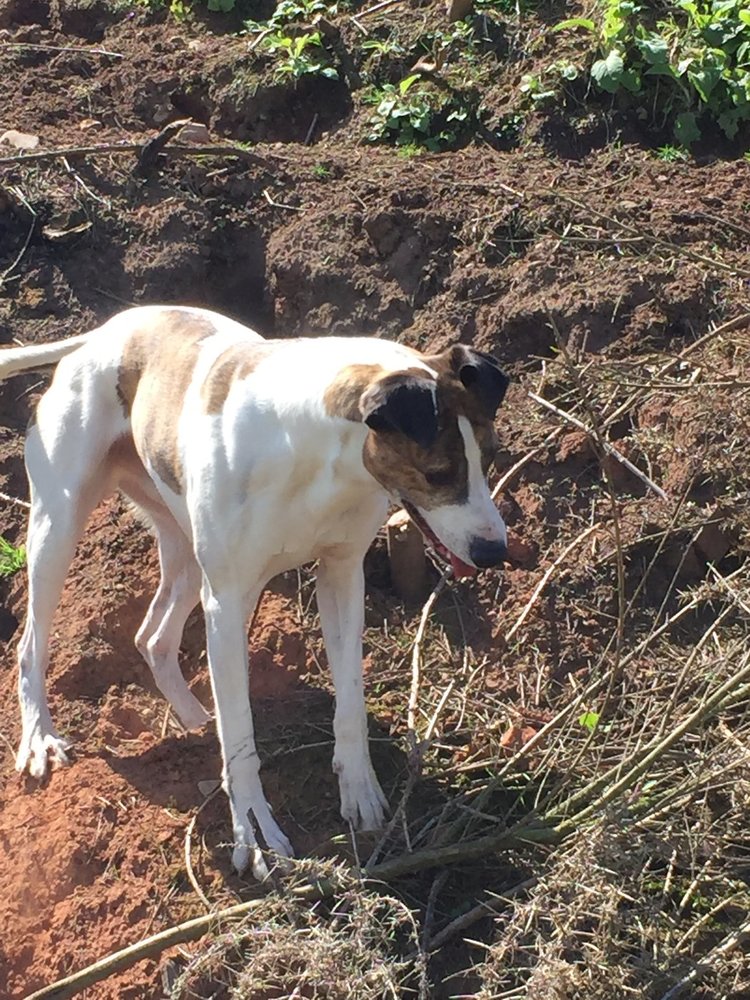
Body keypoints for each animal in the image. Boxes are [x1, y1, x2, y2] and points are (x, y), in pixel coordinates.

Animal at [1, 306, 509, 879]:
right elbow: (241, 738)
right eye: (437, 473)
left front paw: (359, 789)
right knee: (31, 646)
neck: (315, 452)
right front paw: (254, 831)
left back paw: (195, 720)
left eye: (490, 456)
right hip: (58, 531)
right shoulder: (227, 605)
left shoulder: (341, 576)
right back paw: (40, 738)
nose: (496, 552)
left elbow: (351, 703)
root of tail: (102, 334)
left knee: (152, 637)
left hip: (183, 549)